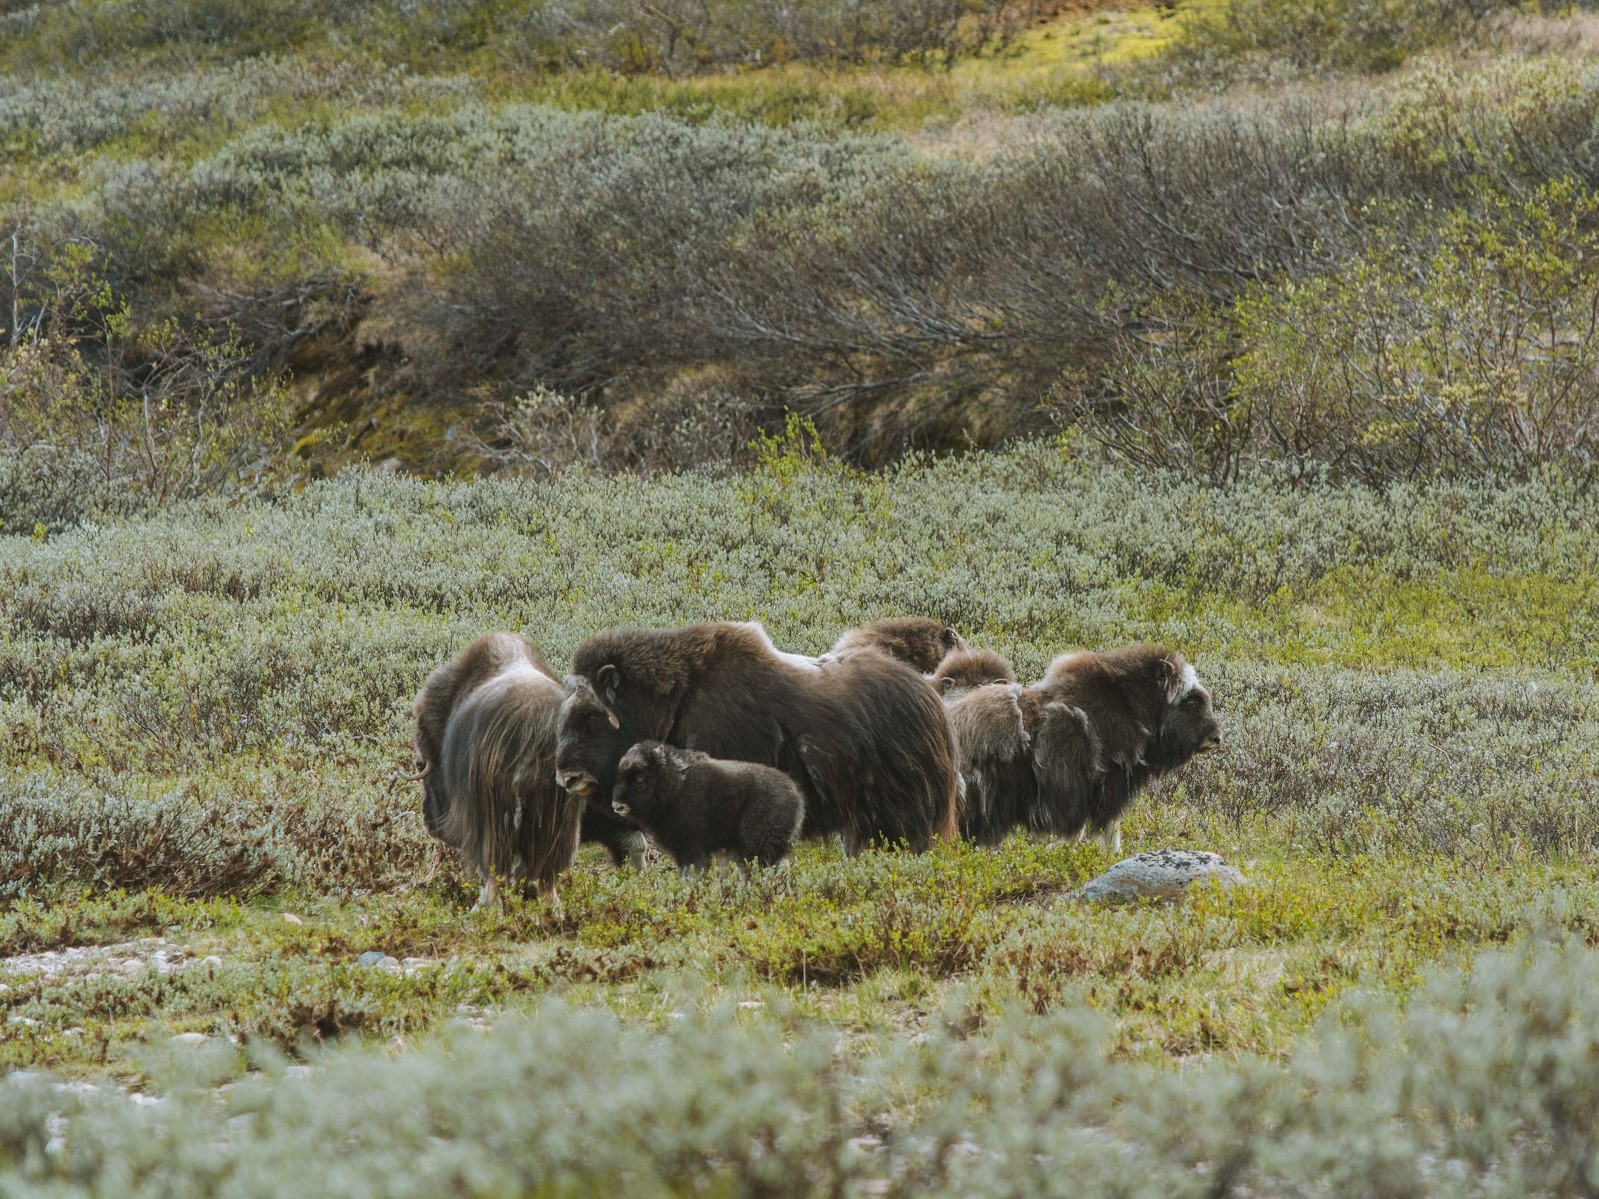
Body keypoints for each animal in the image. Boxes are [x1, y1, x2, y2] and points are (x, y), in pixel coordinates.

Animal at [412, 633, 588, 908]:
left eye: (421, 765)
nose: (430, 824)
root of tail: (535, 725)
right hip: (560, 814)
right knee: (548, 873)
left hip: (496, 812)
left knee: (495, 866)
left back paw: (484, 906)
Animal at [614, 741, 805, 876]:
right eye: (620, 777)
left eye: (639, 781)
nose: (617, 806)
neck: (675, 786)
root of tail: (797, 795)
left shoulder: (693, 848)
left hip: (759, 847)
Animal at [940, 649, 1215, 856]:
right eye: (1191, 700)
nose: (1216, 737)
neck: (1133, 708)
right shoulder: (1107, 787)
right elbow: (1101, 825)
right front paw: (1105, 854)